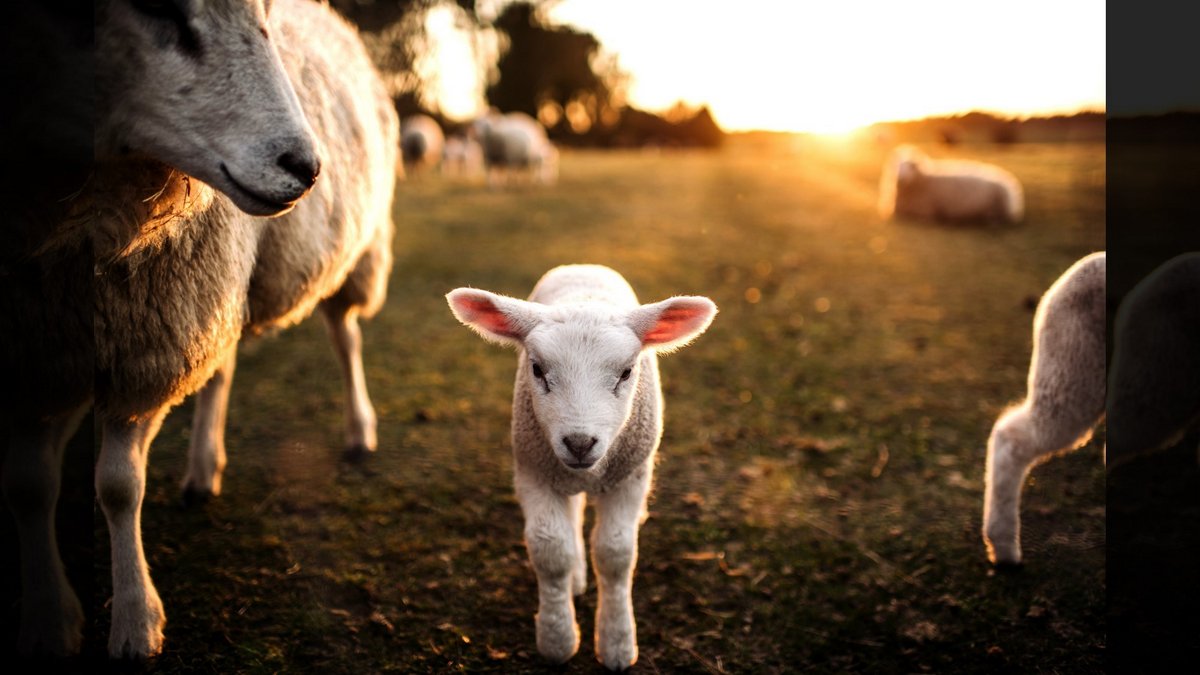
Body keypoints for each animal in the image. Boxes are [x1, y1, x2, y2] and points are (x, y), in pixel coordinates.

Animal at [0, 0, 396, 658]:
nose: (305, 166)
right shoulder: (41, 352)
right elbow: (31, 485)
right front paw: (49, 620)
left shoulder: (149, 342)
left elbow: (118, 485)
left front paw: (135, 622)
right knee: (221, 367)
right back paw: (203, 468)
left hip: (343, 254)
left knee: (346, 338)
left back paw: (360, 429)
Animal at [446, 264, 717, 670]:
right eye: (537, 369)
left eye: (626, 372)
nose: (578, 442)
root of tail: (583, 266)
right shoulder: (534, 472)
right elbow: (550, 550)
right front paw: (557, 639)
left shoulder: (630, 478)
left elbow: (616, 554)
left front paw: (617, 643)